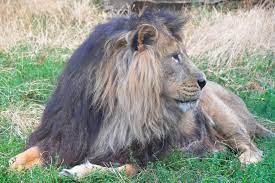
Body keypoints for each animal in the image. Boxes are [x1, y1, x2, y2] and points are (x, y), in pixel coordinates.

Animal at [8, 10, 274, 179]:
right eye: (175, 56)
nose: (202, 81)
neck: (115, 107)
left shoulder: (151, 157)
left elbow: (123, 169)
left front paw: (76, 171)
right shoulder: (67, 138)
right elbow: (30, 153)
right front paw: (12, 164)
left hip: (221, 113)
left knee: (251, 147)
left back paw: (242, 160)